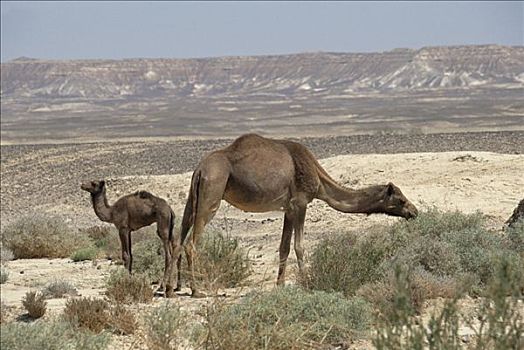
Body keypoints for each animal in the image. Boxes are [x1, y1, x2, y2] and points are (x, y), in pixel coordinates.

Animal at [174, 133, 420, 296]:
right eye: (400, 199)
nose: (414, 211)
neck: (319, 181)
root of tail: (200, 169)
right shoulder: (300, 203)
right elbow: (299, 246)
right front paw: (307, 282)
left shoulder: (289, 209)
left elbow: (283, 247)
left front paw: (280, 285)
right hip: (212, 194)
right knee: (191, 244)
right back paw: (196, 290)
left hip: (193, 196)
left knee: (178, 238)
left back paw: (173, 287)